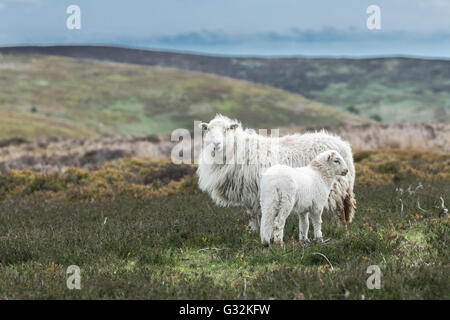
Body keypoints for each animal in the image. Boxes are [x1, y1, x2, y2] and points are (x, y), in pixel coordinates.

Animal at [197, 114, 356, 231]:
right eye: (208, 129)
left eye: (227, 129)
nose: (216, 144)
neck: (237, 149)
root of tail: (344, 146)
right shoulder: (246, 191)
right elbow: (251, 215)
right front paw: (253, 232)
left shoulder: (251, 191)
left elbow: (253, 214)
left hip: (335, 186)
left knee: (339, 210)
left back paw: (341, 231)